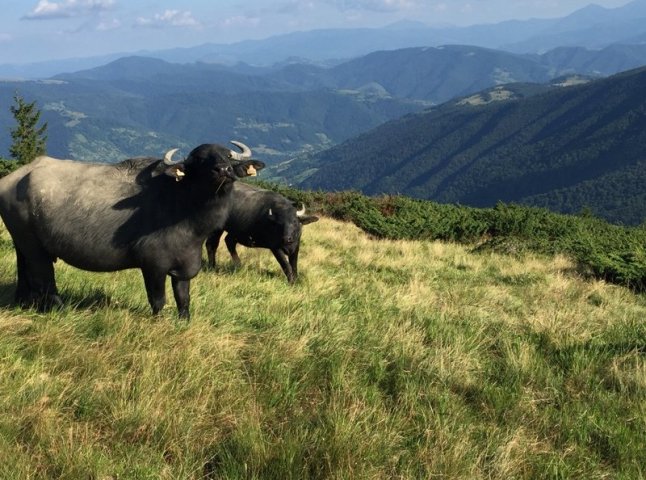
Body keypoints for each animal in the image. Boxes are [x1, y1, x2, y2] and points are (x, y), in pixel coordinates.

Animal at [0, 142, 266, 318]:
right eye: (200, 160)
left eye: (228, 156)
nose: (223, 170)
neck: (185, 209)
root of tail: (13, 178)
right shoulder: (153, 266)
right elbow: (158, 300)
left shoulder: (184, 266)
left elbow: (183, 299)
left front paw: (184, 320)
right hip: (35, 248)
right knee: (44, 279)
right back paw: (59, 308)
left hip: (21, 243)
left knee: (25, 273)